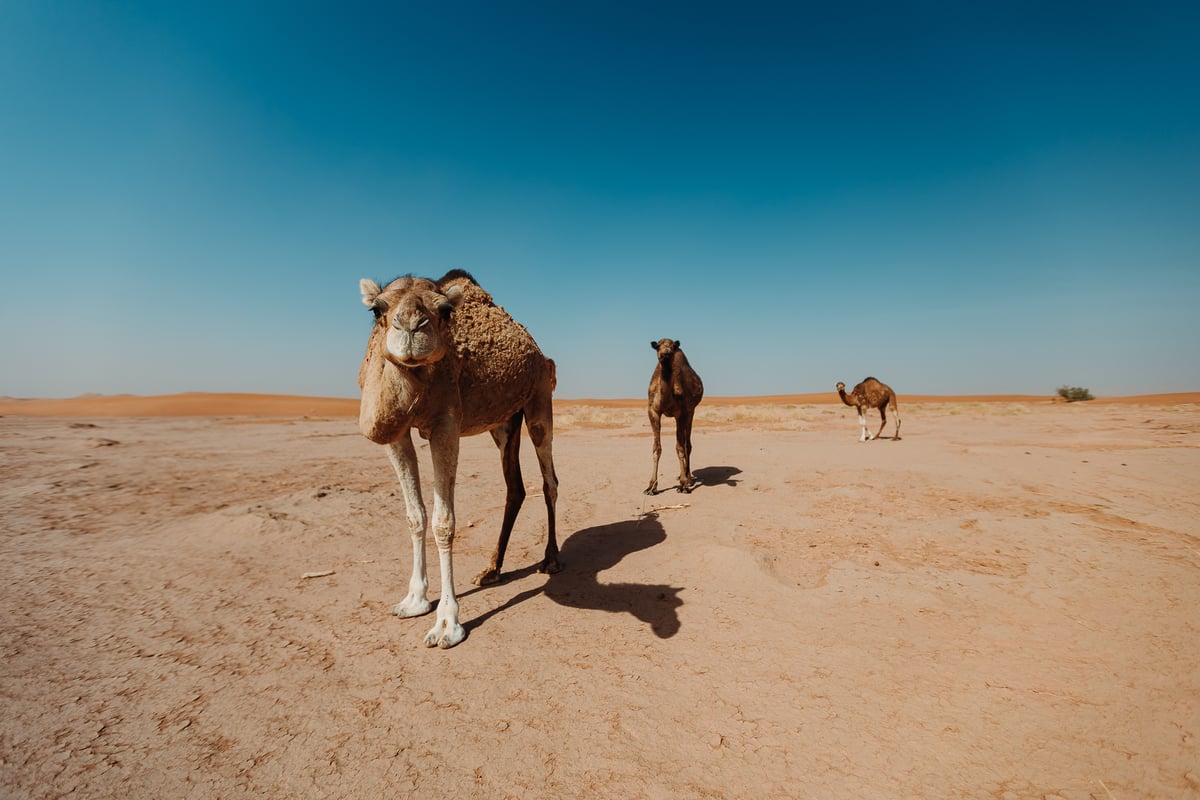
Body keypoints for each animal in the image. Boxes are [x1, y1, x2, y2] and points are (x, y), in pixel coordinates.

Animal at [357, 268, 559, 652]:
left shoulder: (446, 426)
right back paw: (492, 570)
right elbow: (415, 516)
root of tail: (541, 353)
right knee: (515, 487)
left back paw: (552, 558)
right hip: (503, 422)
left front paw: (447, 624)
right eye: (377, 309)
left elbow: (443, 523)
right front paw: (414, 600)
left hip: (540, 398)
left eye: (445, 311)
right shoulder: (397, 436)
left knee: (549, 480)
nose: (411, 327)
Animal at [648, 338, 700, 494]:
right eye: (658, 346)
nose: (666, 352)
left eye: (671, 346)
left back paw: (688, 478)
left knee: (687, 444)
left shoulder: (680, 413)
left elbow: (680, 448)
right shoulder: (653, 411)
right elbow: (656, 448)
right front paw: (651, 487)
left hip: (691, 411)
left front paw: (683, 485)